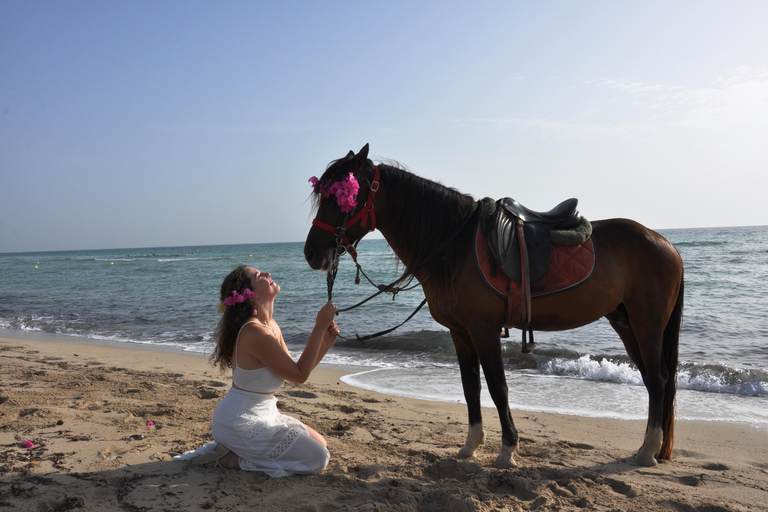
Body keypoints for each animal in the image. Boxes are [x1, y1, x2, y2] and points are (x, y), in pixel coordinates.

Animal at [304, 144, 684, 468]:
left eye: (342, 196)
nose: (311, 253)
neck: (452, 246)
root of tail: (665, 243)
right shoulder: (460, 333)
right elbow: (470, 386)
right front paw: (471, 445)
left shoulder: (483, 330)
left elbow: (498, 387)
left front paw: (507, 450)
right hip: (626, 323)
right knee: (652, 379)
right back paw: (647, 447)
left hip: (647, 324)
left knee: (658, 378)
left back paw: (648, 451)